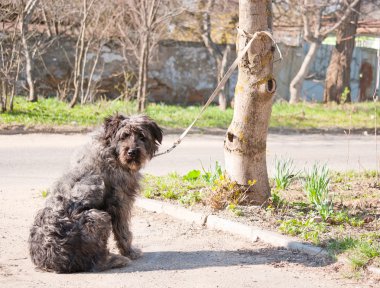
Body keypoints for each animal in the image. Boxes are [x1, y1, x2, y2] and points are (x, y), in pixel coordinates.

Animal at [27, 114, 162, 272]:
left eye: (142, 136)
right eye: (124, 136)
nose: (132, 152)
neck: (111, 151)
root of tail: (49, 262)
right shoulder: (120, 203)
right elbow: (124, 232)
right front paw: (130, 252)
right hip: (98, 217)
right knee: (96, 262)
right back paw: (116, 260)